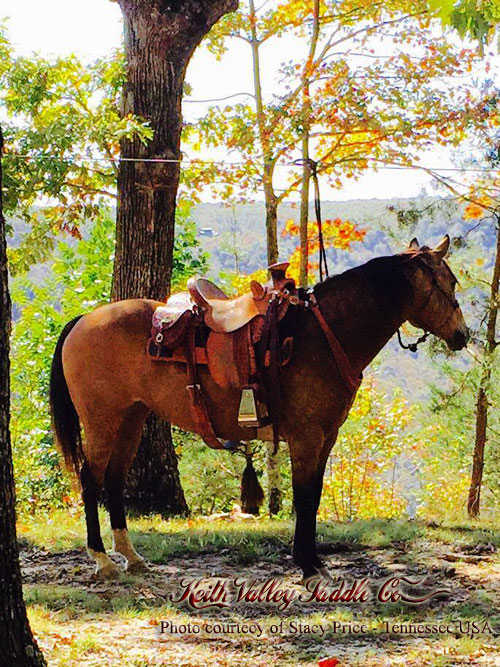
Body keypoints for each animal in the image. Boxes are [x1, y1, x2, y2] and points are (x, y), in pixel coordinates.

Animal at [48, 235, 466, 580]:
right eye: (449, 283)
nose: (463, 335)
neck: (324, 335)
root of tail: (84, 320)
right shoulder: (306, 437)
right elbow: (305, 497)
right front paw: (307, 564)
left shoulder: (326, 437)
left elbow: (313, 497)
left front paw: (313, 560)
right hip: (101, 420)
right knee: (90, 479)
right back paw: (102, 559)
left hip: (130, 419)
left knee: (115, 480)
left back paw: (131, 556)